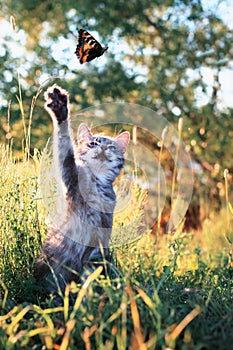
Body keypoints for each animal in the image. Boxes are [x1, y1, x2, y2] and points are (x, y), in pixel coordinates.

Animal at [35, 85, 129, 296]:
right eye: (93, 143)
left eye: (111, 146)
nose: (103, 148)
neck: (96, 182)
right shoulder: (69, 175)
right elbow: (64, 143)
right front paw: (59, 107)